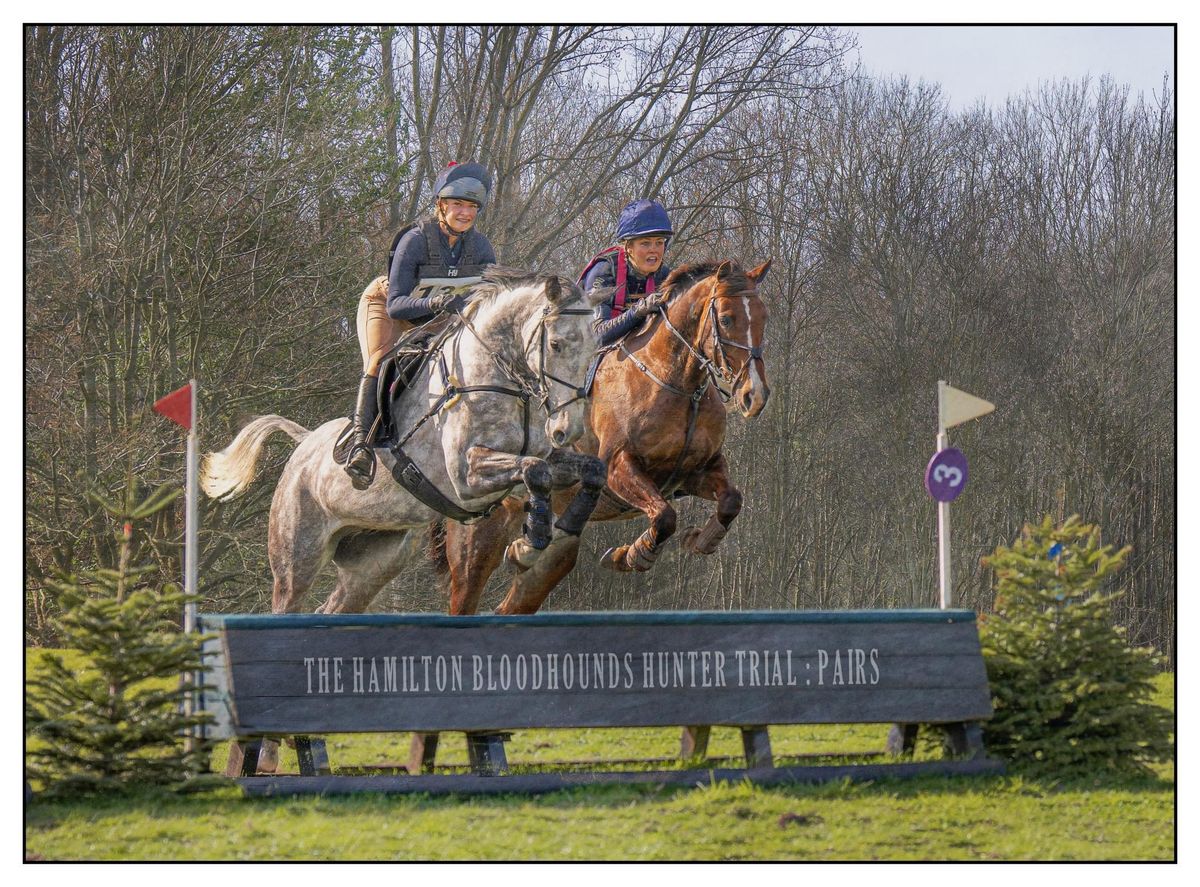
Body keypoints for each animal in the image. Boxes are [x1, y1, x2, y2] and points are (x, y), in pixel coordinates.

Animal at [202, 272, 609, 619]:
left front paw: (561, 529)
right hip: (297, 555)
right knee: (288, 602)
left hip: (376, 561)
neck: (501, 382)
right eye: (555, 344)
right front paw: (529, 543)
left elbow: (590, 469)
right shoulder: (465, 477)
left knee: (336, 607)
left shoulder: (545, 458)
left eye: (594, 348)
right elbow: (533, 470)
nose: (568, 429)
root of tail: (304, 445)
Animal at [441, 260, 768, 614]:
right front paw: (632, 555)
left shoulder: (695, 471)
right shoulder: (617, 468)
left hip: (557, 547)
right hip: (480, 531)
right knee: (466, 595)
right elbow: (665, 516)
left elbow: (731, 500)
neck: (674, 380)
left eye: (763, 317)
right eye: (727, 319)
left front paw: (701, 539)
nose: (755, 397)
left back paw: (519, 552)